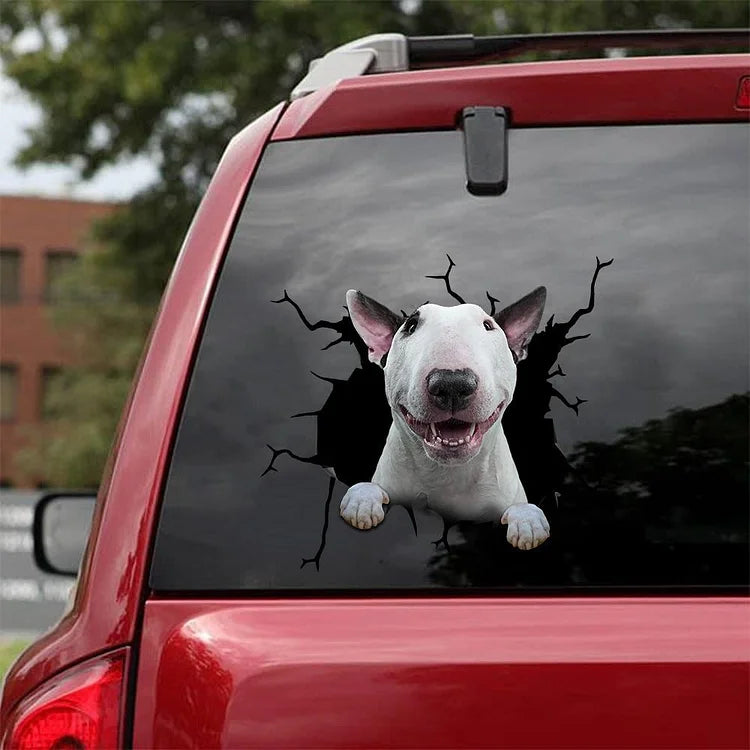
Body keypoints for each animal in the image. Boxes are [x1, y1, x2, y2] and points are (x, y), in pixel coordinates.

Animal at [342, 288, 552, 552]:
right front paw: (363, 501)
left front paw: (527, 522)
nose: (452, 384)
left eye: (488, 325)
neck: (448, 476)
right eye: (410, 325)